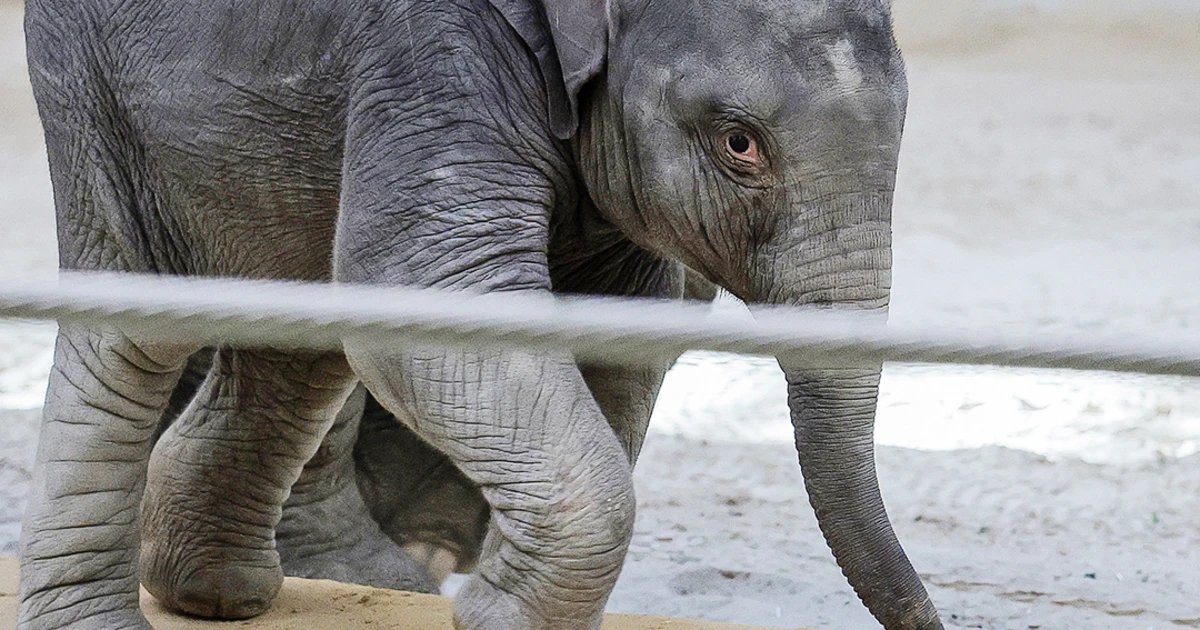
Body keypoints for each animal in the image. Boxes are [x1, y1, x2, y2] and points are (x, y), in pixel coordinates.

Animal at [18, 0, 931, 627]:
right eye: (740, 143)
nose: (930, 617)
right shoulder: (432, 57)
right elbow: (426, 292)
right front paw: (492, 613)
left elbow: (620, 337)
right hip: (94, 95)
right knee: (134, 335)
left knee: (300, 323)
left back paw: (216, 593)